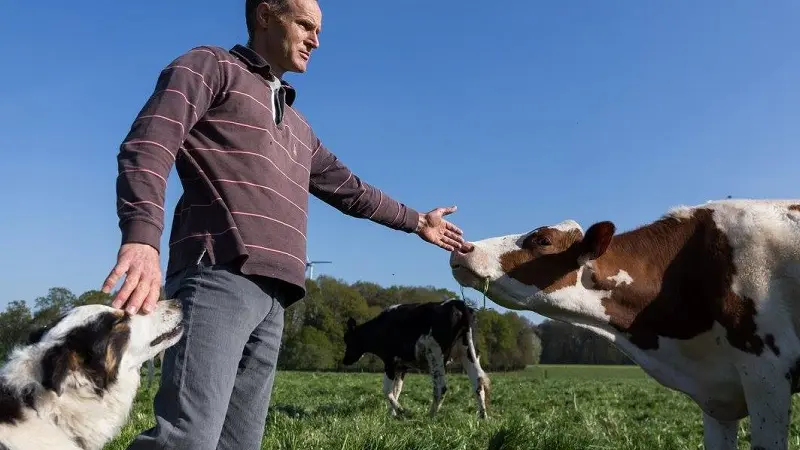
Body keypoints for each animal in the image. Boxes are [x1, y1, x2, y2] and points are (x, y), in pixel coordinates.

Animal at [342, 298, 490, 418]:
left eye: (347, 340)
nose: (345, 360)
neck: (380, 327)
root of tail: (456, 302)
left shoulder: (390, 362)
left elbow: (387, 390)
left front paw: (401, 411)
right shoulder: (402, 366)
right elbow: (396, 390)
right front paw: (393, 414)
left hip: (435, 354)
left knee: (441, 387)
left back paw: (431, 415)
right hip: (469, 352)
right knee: (478, 382)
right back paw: (483, 416)